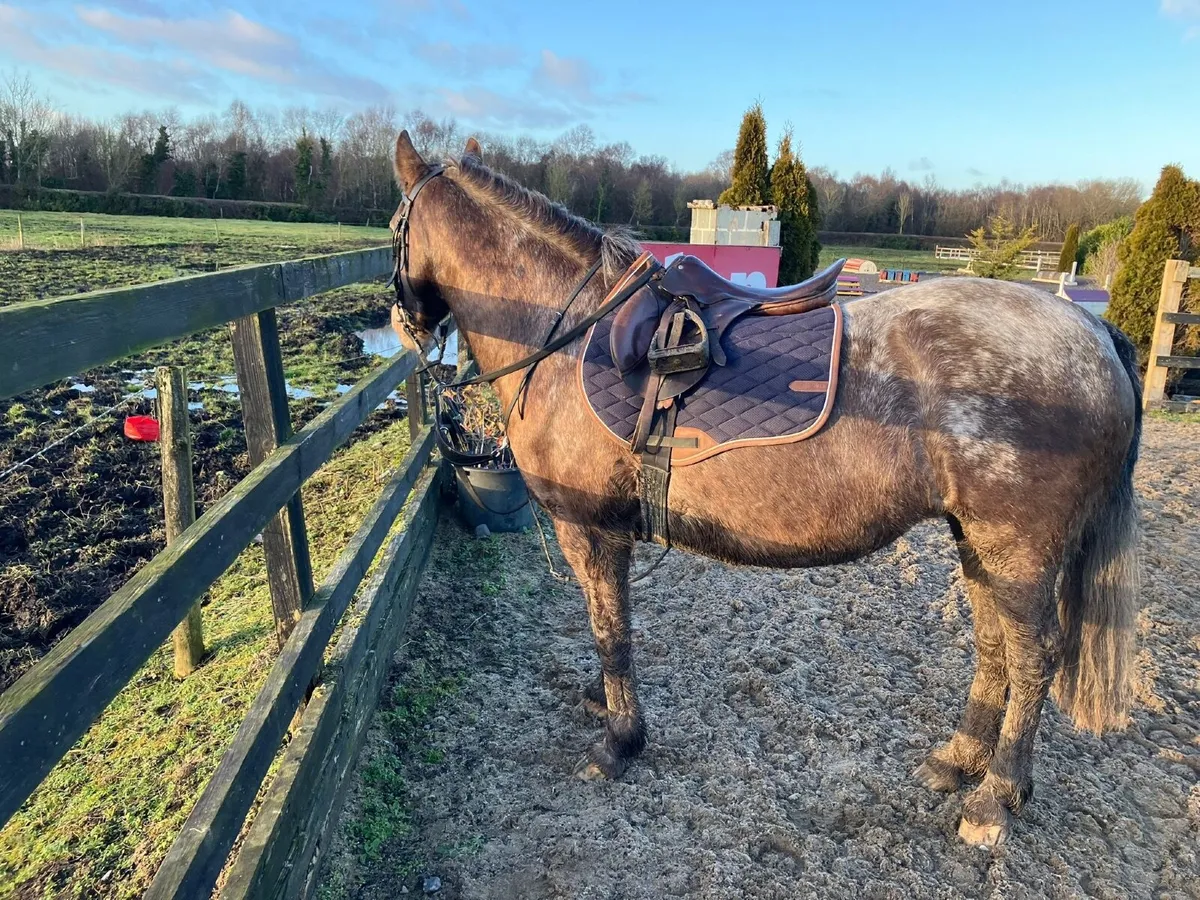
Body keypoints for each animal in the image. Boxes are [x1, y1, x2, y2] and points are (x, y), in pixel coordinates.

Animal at [385, 131, 1142, 848]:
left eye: (394, 227)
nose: (406, 324)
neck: (569, 333)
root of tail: (1093, 329)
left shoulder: (591, 531)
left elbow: (611, 632)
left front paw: (619, 740)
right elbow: (610, 629)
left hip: (1017, 551)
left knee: (1034, 659)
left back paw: (995, 799)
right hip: (979, 546)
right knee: (994, 648)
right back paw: (956, 762)